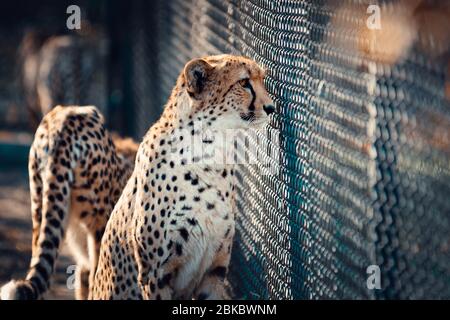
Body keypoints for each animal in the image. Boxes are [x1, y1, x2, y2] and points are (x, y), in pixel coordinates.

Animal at [91, 55, 274, 300]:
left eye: (262, 80)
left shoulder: (214, 272)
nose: (271, 107)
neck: (209, 156)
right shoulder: (154, 275)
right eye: (244, 82)